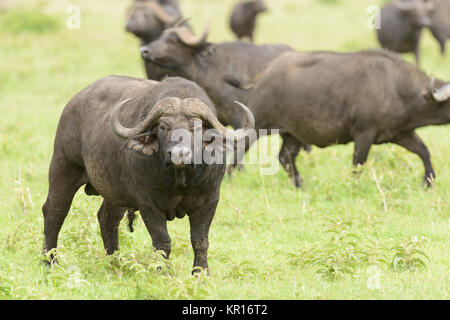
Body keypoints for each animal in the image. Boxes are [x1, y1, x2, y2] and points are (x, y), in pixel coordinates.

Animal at [42, 75, 255, 272]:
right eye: (164, 127)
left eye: (197, 128)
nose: (179, 153)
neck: (180, 180)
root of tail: (73, 103)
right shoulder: (147, 203)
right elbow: (162, 241)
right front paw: (163, 271)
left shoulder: (209, 200)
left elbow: (200, 240)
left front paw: (201, 273)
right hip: (63, 168)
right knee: (54, 212)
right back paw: (50, 261)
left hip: (115, 192)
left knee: (107, 219)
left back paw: (117, 262)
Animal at [141, 20, 310, 185]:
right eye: (161, 36)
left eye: (173, 41)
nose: (144, 51)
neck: (212, 71)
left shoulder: (239, 119)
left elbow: (238, 146)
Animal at [227, 50, 450, 188]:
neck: (397, 87)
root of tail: (265, 73)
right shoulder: (364, 134)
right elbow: (358, 164)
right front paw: (355, 186)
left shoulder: (402, 133)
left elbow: (424, 152)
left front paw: (428, 181)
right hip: (256, 126)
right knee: (240, 150)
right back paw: (230, 177)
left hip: (292, 134)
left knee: (285, 157)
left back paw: (300, 184)